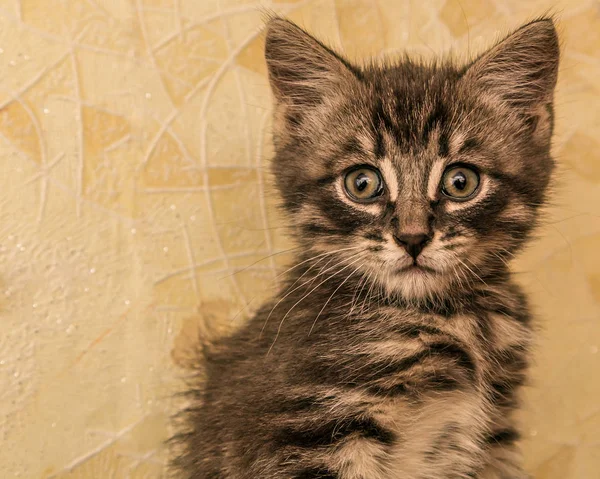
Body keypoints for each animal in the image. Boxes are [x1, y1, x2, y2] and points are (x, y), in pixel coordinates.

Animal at [171, 15, 560, 479]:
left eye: (460, 181)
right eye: (362, 183)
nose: (413, 238)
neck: (452, 320)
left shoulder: (491, 440)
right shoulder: (307, 431)